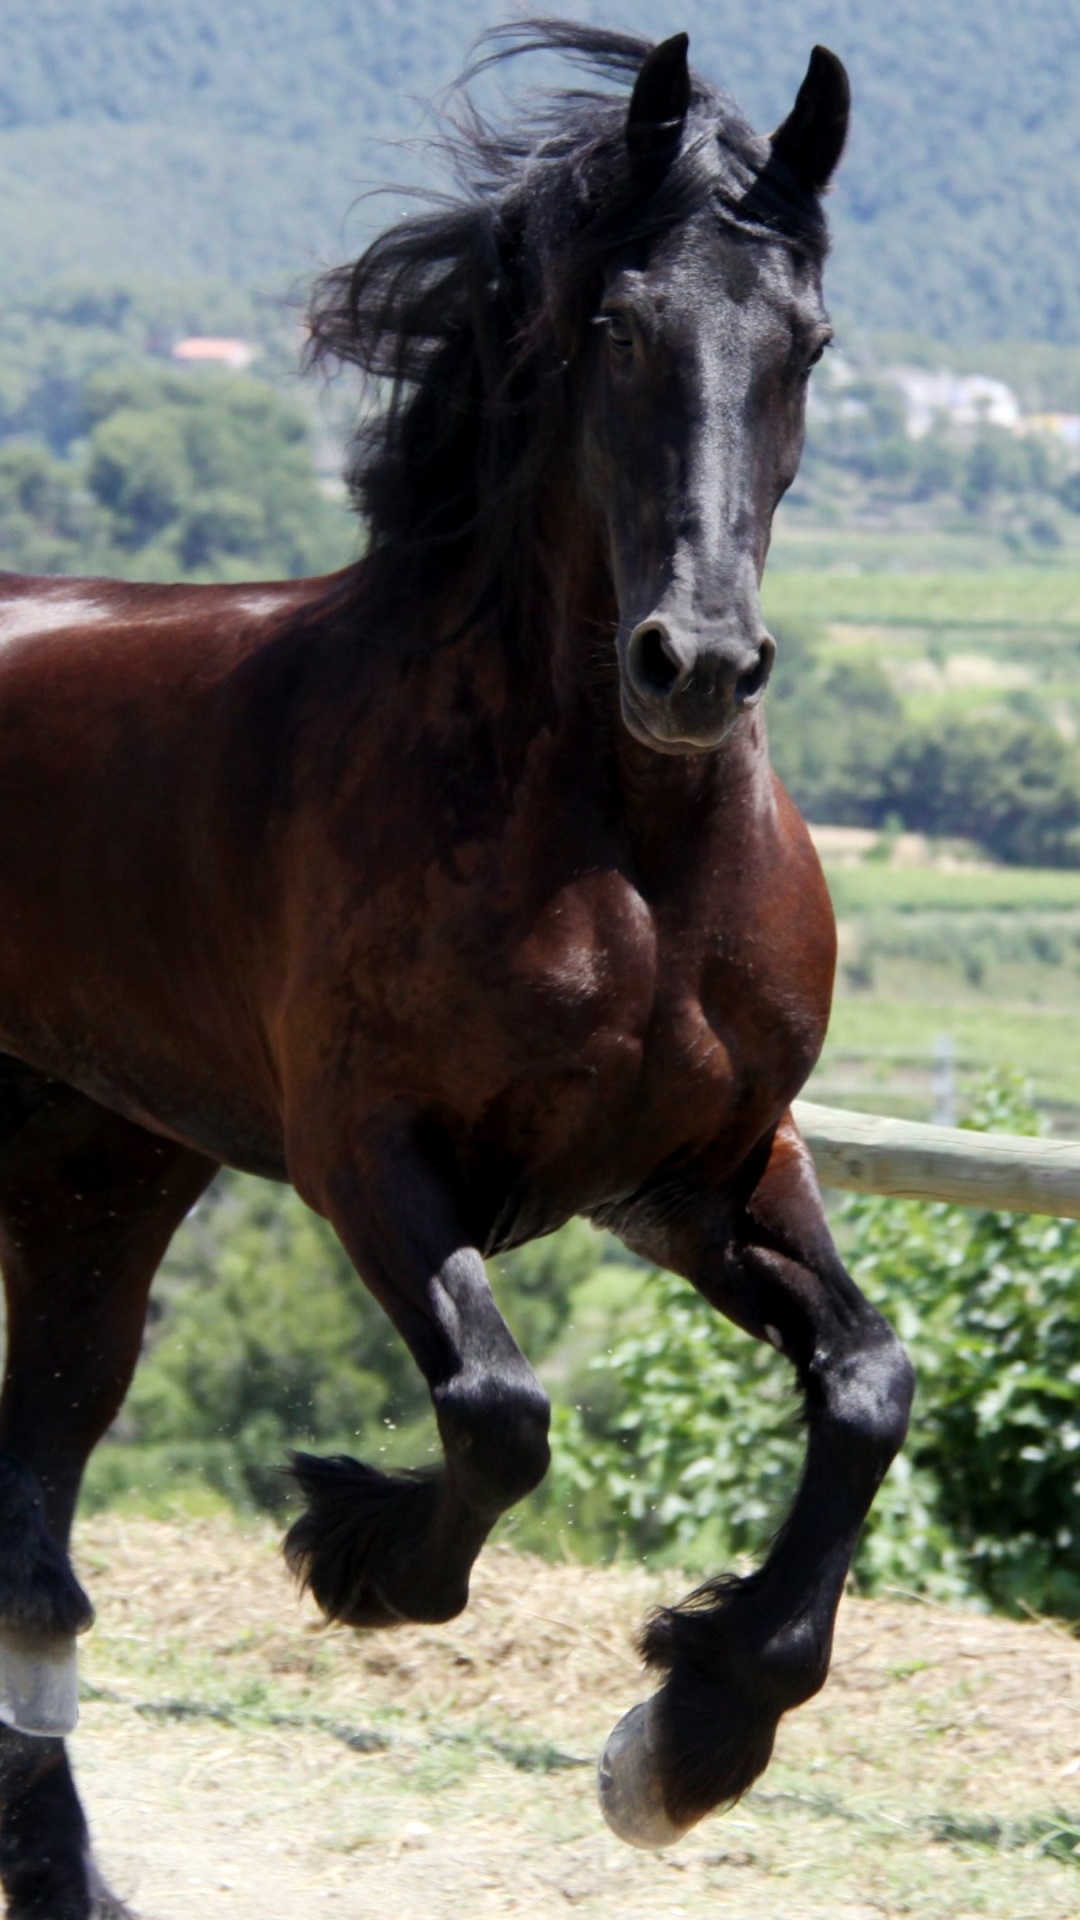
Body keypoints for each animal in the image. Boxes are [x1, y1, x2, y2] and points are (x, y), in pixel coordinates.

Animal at [0, 21, 913, 1913]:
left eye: (806, 342)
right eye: (619, 327)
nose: (694, 667)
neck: (623, 839)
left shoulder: (699, 1173)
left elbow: (869, 1387)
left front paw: (690, 1743)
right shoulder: (370, 1155)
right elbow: (498, 1410)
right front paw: (353, 1547)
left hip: (93, 1183)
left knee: (29, 1513)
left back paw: (67, 1877)